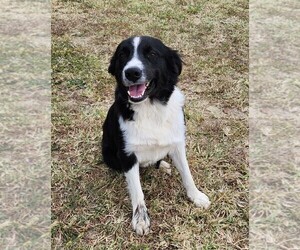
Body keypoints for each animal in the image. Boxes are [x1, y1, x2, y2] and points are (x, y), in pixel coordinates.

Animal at [102, 36, 210, 235]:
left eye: (152, 54)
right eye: (123, 55)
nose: (132, 72)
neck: (150, 108)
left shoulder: (178, 144)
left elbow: (187, 173)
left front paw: (196, 196)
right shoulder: (127, 155)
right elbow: (137, 191)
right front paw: (140, 219)